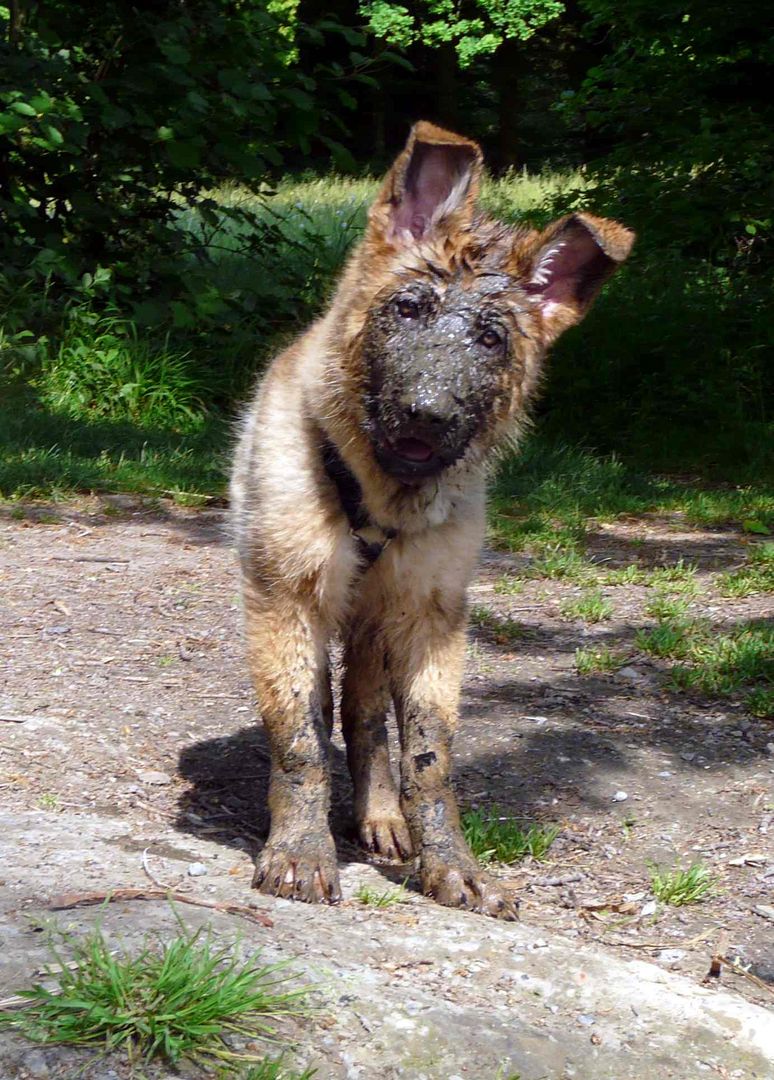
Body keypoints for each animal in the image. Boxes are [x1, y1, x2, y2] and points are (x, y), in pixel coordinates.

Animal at [231, 124, 634, 920]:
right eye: (410, 310)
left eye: (490, 339)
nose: (428, 415)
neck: (379, 497)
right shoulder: (288, 599)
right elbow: (299, 741)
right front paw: (299, 853)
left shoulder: (431, 617)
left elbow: (427, 755)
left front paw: (450, 864)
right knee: (328, 713)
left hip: (374, 623)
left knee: (363, 717)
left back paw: (381, 817)